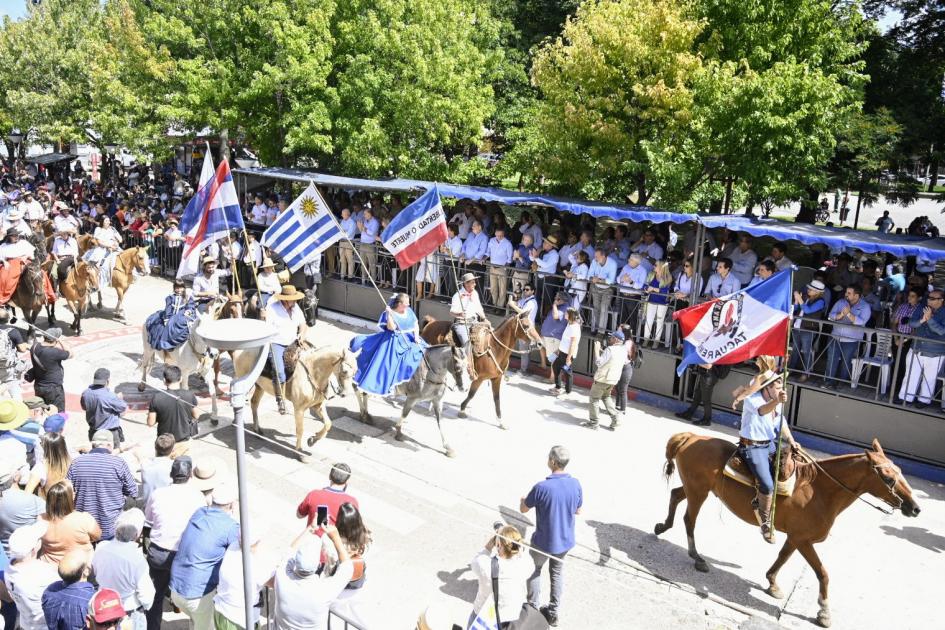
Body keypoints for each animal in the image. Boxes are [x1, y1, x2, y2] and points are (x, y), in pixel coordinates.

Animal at [418, 300, 544, 430]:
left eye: (533, 325)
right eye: (526, 326)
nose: (540, 343)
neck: (495, 348)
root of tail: (430, 323)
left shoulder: (496, 378)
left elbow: (496, 399)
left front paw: (501, 421)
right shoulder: (479, 378)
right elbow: (471, 394)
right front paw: (462, 410)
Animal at [652, 436, 920, 628]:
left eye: (900, 473)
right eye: (888, 478)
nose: (914, 507)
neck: (820, 491)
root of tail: (689, 437)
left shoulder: (795, 538)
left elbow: (782, 557)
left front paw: (772, 584)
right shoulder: (803, 540)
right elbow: (822, 573)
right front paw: (824, 612)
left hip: (695, 488)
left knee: (675, 495)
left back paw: (662, 526)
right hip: (698, 491)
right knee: (689, 519)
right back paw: (697, 557)